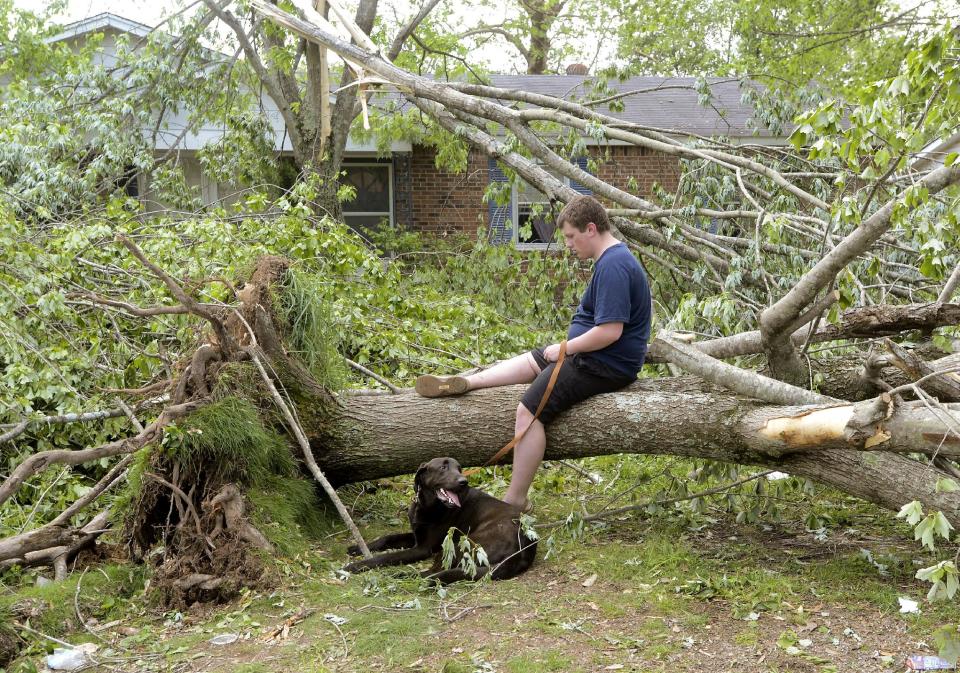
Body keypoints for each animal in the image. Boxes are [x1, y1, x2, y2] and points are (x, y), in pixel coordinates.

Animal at [346, 456, 540, 584]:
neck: (427, 504)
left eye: (459, 469)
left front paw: (357, 565)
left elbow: (388, 557)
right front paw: (356, 548)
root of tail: (524, 547)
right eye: (443, 468)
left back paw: (401, 577)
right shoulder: (417, 535)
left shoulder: (422, 548)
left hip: (458, 544)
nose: (464, 481)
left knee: (434, 573)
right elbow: (387, 538)